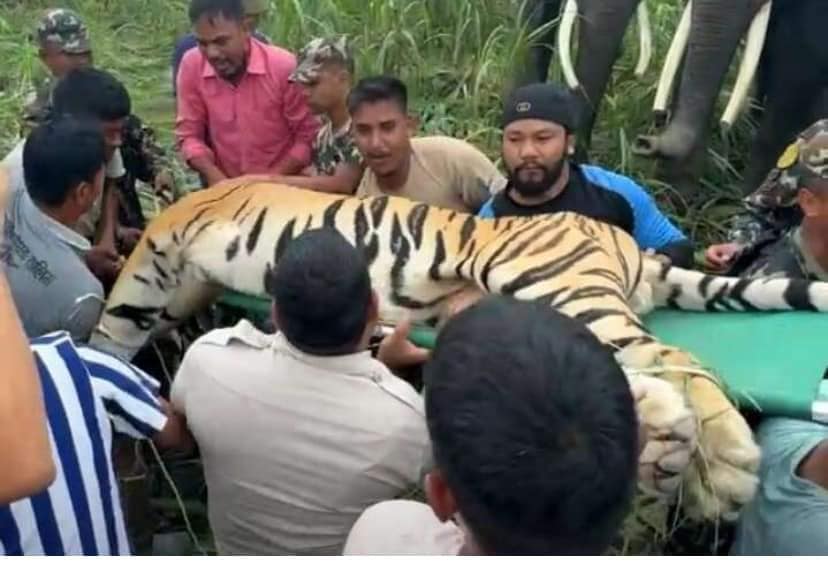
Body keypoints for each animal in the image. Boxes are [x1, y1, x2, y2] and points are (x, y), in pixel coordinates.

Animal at [89, 178, 828, 524]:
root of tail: (626, 244)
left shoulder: (161, 247)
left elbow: (116, 316)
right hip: (528, 307)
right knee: (635, 379)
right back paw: (677, 457)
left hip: (559, 283)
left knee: (682, 361)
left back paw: (726, 469)